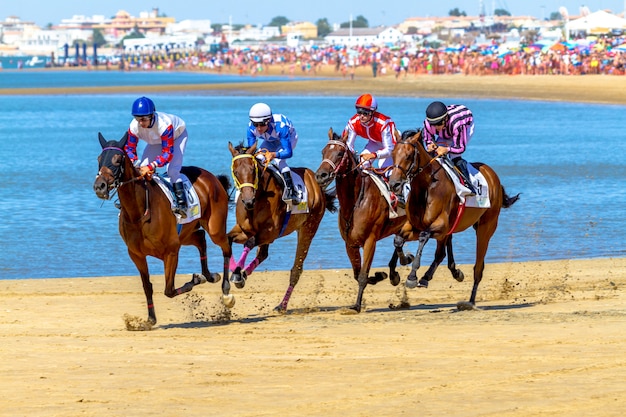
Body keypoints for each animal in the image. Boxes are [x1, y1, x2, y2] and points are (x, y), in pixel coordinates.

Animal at [91, 131, 230, 324]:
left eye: (117, 160)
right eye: (99, 158)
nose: (100, 186)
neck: (139, 213)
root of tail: (211, 177)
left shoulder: (171, 251)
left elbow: (169, 290)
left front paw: (195, 280)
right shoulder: (136, 254)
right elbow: (147, 286)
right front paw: (150, 319)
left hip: (214, 228)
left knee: (226, 247)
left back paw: (226, 290)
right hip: (185, 234)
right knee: (201, 238)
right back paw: (210, 275)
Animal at [223, 141, 334, 312]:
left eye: (252, 170)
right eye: (236, 171)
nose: (248, 201)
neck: (259, 198)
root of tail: (316, 184)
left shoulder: (270, 232)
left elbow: (249, 242)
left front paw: (237, 273)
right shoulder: (245, 229)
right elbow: (228, 240)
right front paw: (237, 273)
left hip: (309, 228)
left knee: (296, 268)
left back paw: (282, 305)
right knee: (263, 254)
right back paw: (245, 274)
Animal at [312, 128, 420, 314]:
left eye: (339, 153)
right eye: (323, 152)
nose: (321, 175)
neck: (355, 202)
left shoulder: (370, 240)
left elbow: (362, 275)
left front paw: (356, 305)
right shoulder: (350, 243)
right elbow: (357, 274)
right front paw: (379, 275)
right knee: (398, 242)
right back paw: (396, 271)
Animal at [388, 129, 520, 308]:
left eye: (409, 155)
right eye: (393, 153)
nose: (394, 184)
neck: (427, 187)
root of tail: (493, 176)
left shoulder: (439, 226)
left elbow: (423, 237)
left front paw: (412, 277)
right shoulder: (416, 225)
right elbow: (398, 240)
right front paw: (402, 264)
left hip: (486, 227)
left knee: (478, 267)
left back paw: (470, 301)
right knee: (441, 253)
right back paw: (433, 276)